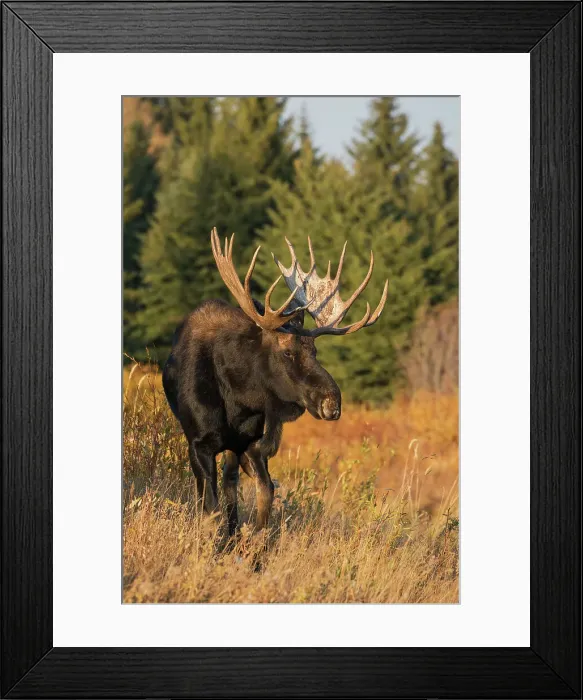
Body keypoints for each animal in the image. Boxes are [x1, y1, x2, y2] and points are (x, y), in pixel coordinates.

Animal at [162, 228, 388, 535]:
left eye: (314, 351)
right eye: (287, 351)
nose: (332, 402)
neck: (238, 401)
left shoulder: (252, 443)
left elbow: (264, 497)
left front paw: (254, 541)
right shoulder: (199, 444)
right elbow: (210, 508)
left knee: (232, 485)